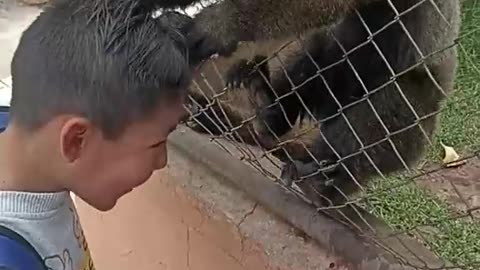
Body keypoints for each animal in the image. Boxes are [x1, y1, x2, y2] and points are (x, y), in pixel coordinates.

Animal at [190, 0, 462, 206]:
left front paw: (219, 25)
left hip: (419, 117)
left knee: (390, 103)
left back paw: (328, 180)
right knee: (326, 49)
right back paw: (271, 110)